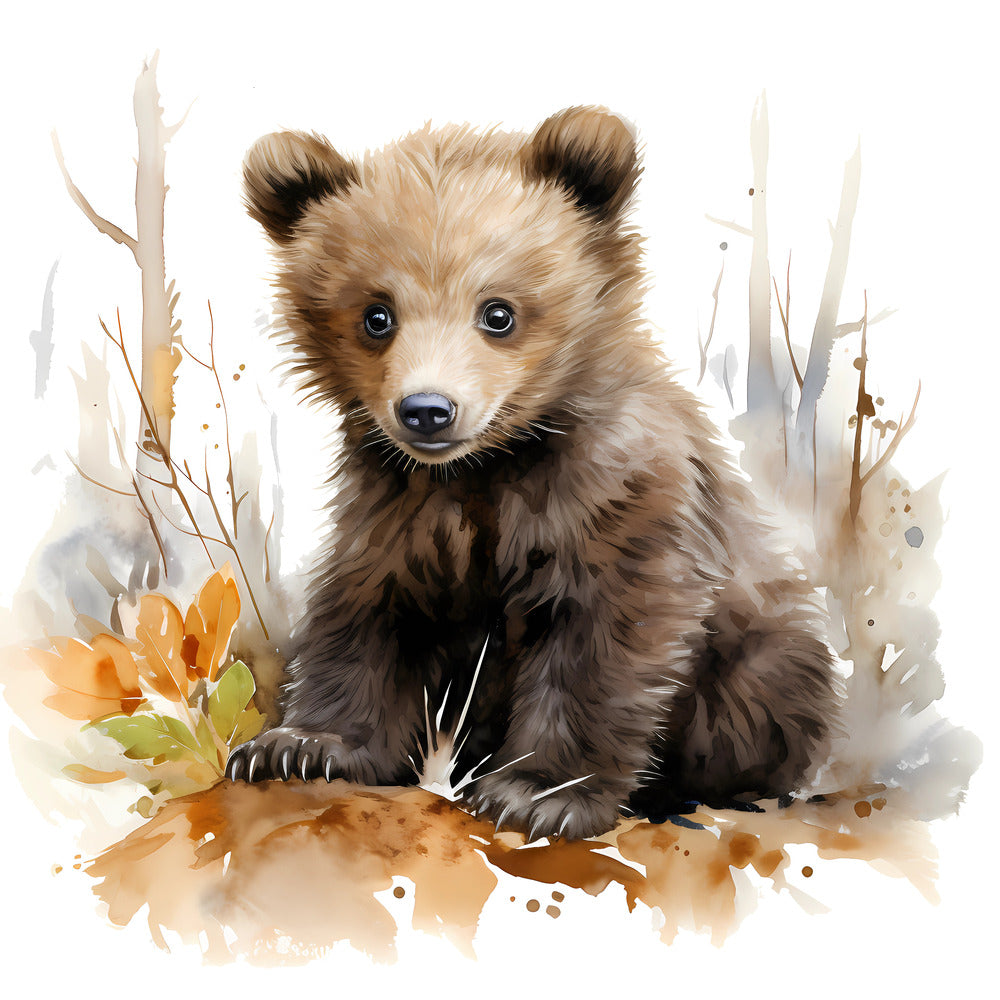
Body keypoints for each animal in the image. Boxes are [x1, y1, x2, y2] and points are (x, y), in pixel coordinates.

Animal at [226, 106, 840, 841]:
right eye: (377, 315)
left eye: (498, 312)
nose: (427, 409)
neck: (488, 465)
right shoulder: (399, 510)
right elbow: (368, 614)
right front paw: (300, 747)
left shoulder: (614, 500)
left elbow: (602, 637)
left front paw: (538, 791)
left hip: (761, 655)